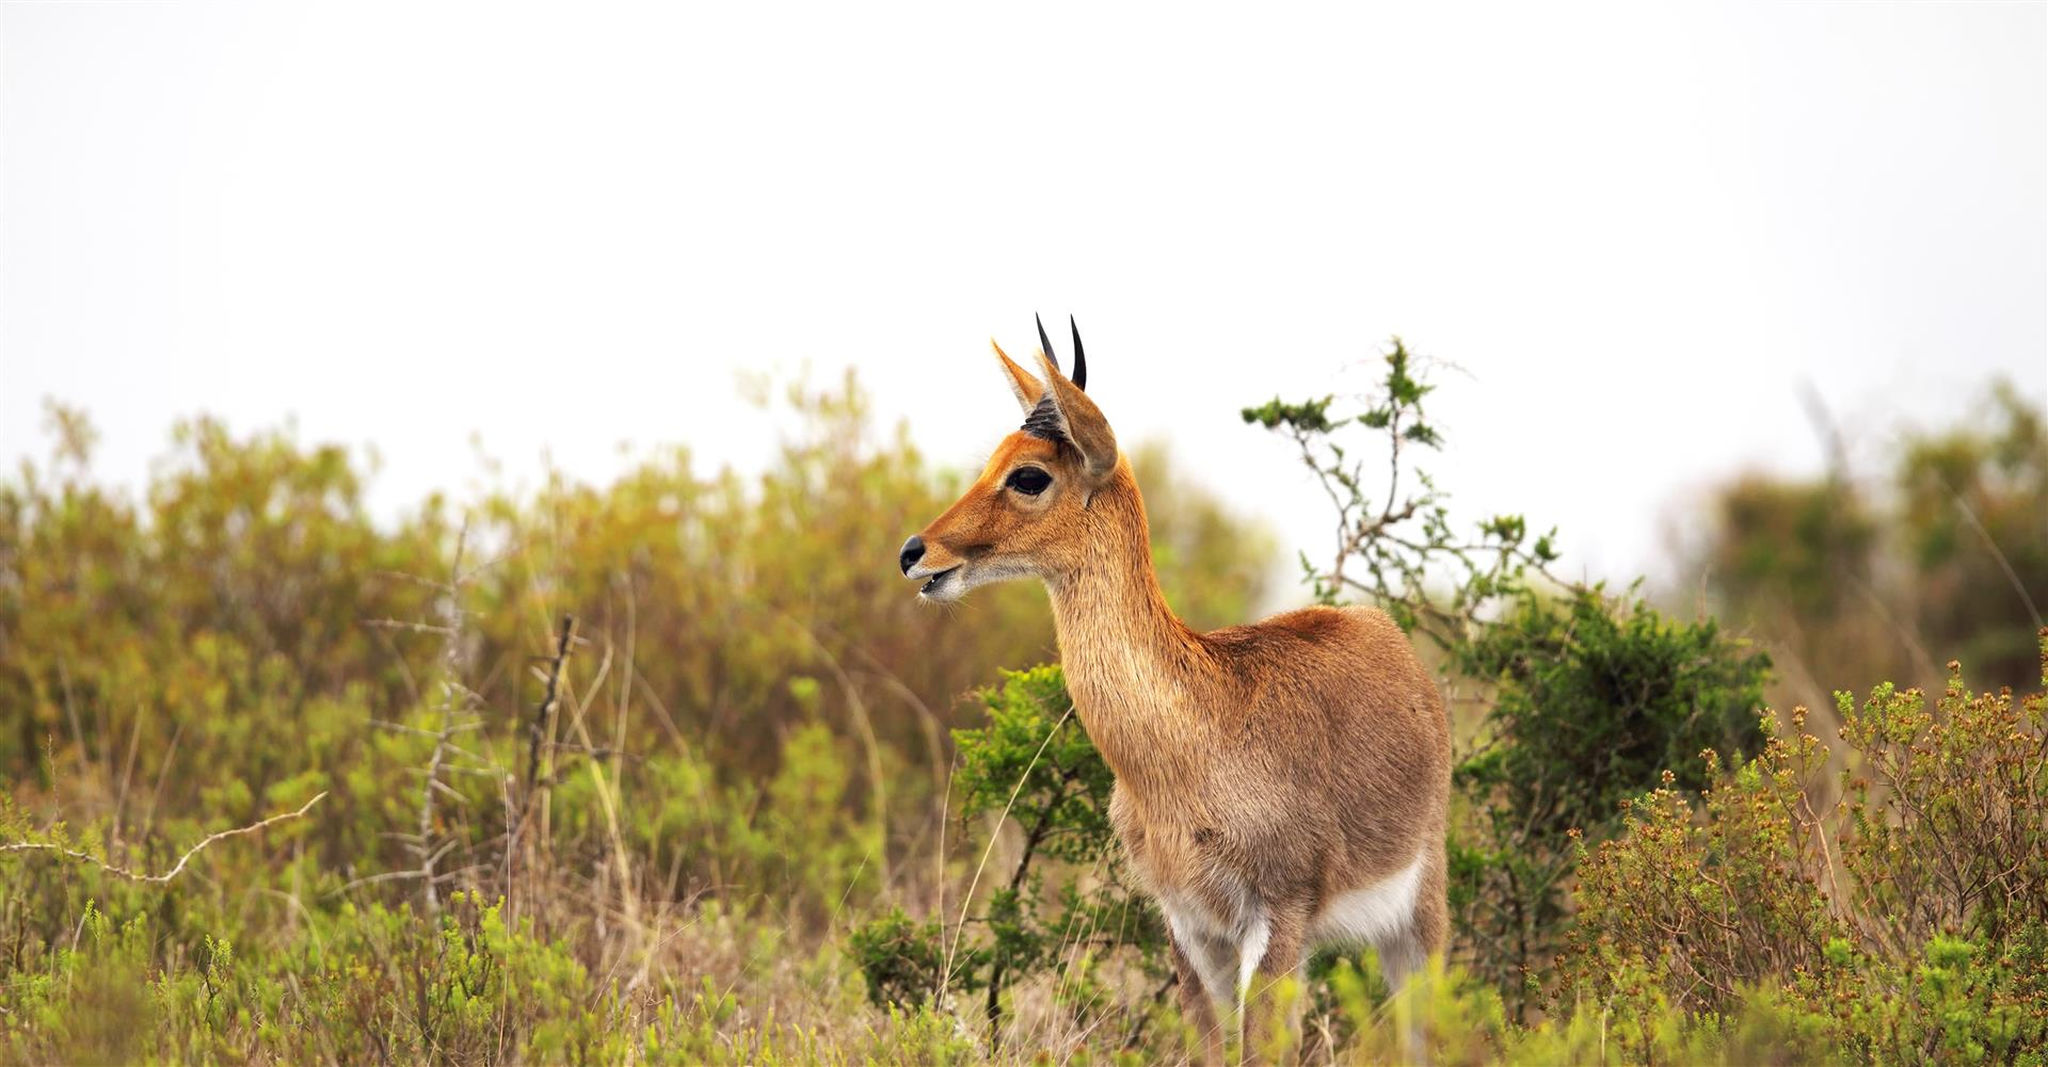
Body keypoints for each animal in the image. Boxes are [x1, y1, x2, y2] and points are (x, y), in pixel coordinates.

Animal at [901, 315, 1458, 1056]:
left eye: (1029, 474)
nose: (915, 553)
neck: (1195, 736)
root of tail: (1388, 637)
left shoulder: (1276, 919)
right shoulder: (1189, 928)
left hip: (1419, 920)